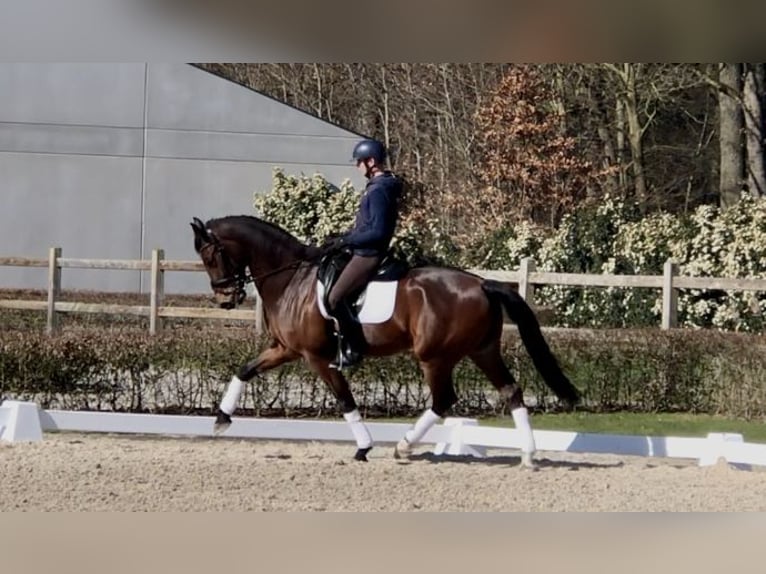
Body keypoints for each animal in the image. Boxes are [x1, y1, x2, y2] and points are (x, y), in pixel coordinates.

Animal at [190, 214, 580, 467]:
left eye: (210, 255)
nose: (225, 300)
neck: (292, 279)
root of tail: (482, 283)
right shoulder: (285, 349)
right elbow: (244, 370)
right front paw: (221, 419)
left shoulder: (317, 357)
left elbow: (344, 400)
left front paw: (364, 447)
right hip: (482, 351)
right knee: (510, 391)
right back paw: (528, 455)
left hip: (434, 357)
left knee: (444, 399)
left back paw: (404, 447)